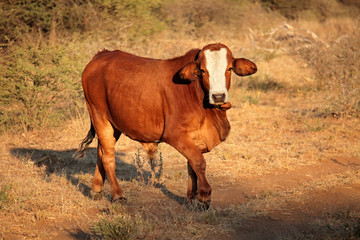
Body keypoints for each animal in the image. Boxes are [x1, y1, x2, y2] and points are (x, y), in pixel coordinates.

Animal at [75, 43, 256, 208]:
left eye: (229, 69)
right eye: (203, 71)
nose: (218, 96)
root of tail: (101, 55)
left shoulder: (193, 137)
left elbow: (191, 165)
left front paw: (191, 198)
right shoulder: (174, 135)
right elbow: (199, 162)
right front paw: (204, 197)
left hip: (114, 125)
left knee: (100, 151)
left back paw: (96, 189)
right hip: (100, 116)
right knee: (108, 156)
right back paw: (118, 196)